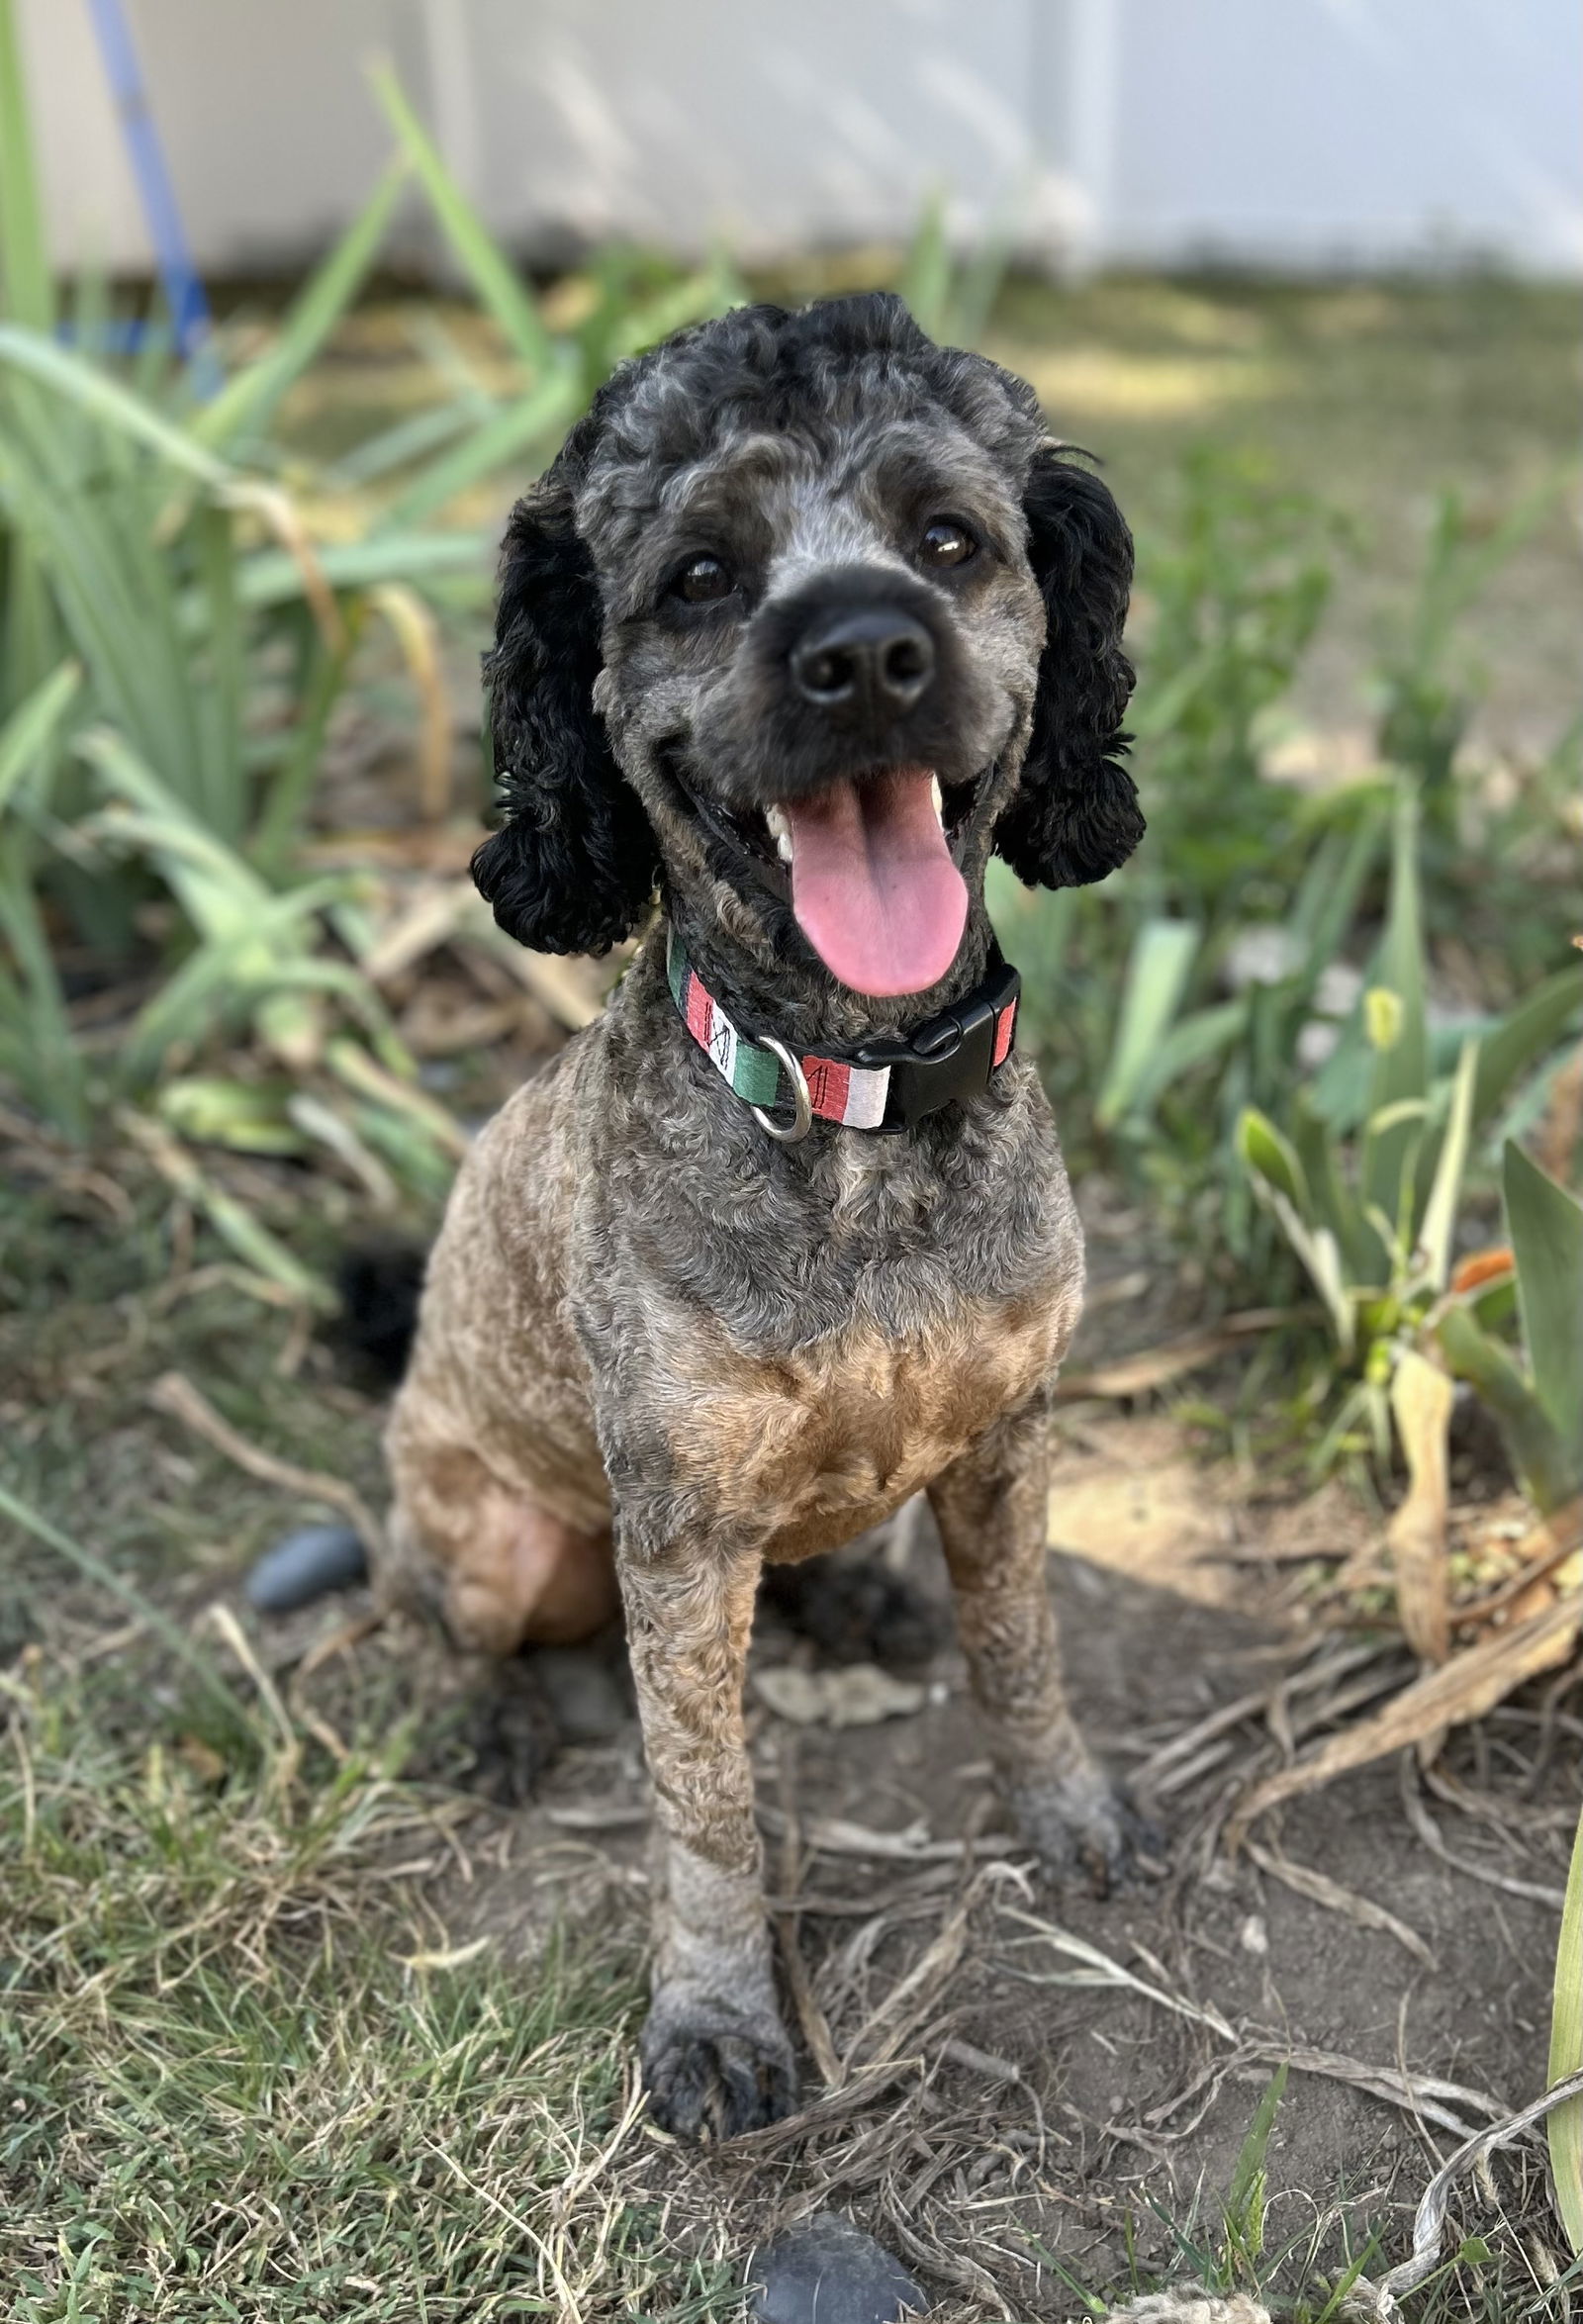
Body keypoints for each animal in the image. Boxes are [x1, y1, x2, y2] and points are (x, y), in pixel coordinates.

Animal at [383, 290, 1148, 2138]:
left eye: (949, 540)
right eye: (702, 575)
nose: (864, 648)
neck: (852, 1099)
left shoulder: (1010, 1436)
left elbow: (1022, 1650)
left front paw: (1066, 1806)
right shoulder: (680, 1537)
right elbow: (705, 1802)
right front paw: (721, 2017)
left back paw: (854, 1595)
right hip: (489, 1532)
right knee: (443, 1615)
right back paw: (493, 1712)